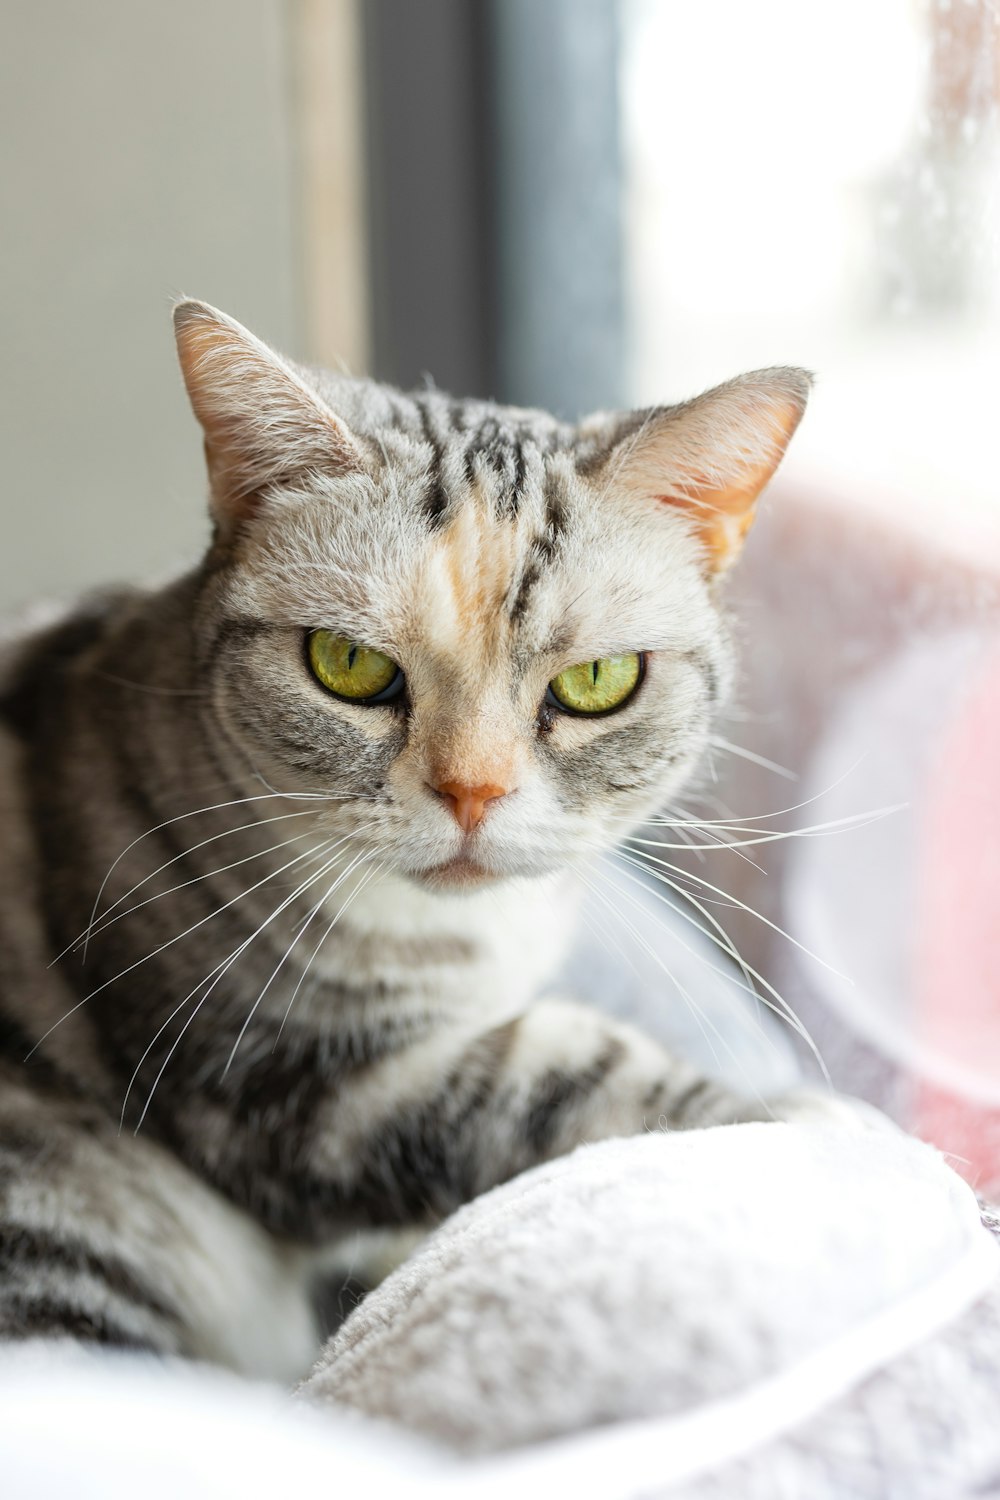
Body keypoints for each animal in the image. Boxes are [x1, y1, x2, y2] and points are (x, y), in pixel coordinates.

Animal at [0, 298, 821, 1374]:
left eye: (596, 682)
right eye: (346, 664)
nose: (472, 790)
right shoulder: (274, 1085)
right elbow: (555, 1072)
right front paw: (805, 1117)